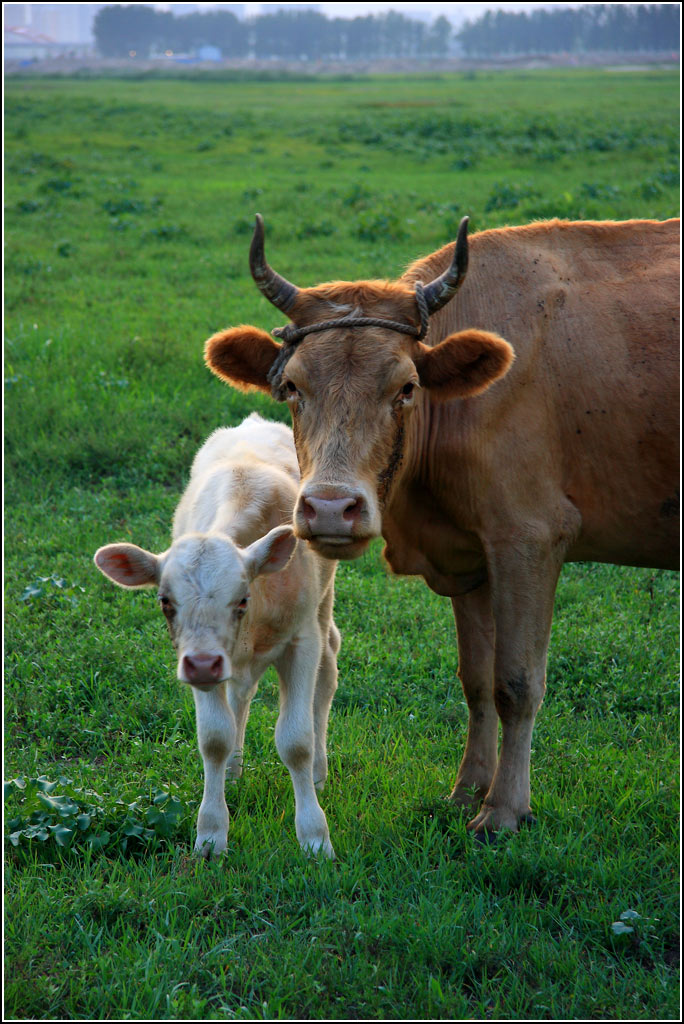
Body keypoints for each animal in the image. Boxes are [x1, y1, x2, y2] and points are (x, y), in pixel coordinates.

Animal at [94, 413, 339, 856]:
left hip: (322, 604)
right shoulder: (198, 660)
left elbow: (296, 741)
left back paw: (318, 771)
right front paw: (211, 832)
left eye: (241, 599)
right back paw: (235, 770)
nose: (205, 664)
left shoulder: (300, 641)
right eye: (165, 601)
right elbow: (214, 738)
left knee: (327, 670)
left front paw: (314, 837)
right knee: (241, 692)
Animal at [202, 214, 679, 831]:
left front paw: (503, 810)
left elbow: (516, 682)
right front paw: (468, 789)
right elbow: (476, 680)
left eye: (406, 387)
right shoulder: (468, 557)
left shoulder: (529, 539)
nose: (329, 508)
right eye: (291, 387)